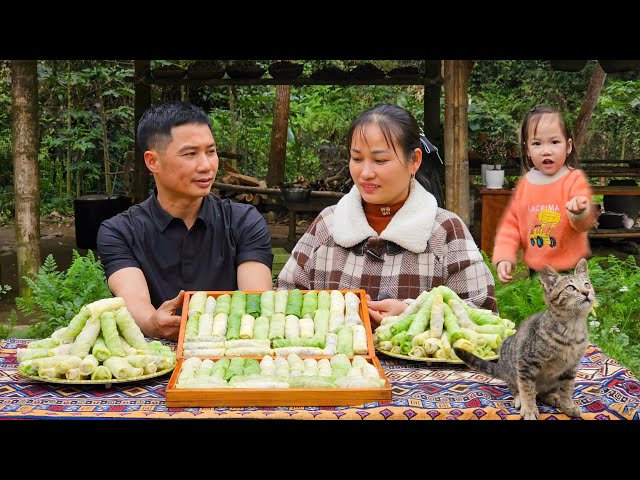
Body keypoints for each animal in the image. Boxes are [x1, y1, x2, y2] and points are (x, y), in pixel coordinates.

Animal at [456, 258, 596, 420]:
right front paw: (529, 409)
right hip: (511, 366)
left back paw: (553, 397)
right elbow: (527, 389)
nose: (586, 292)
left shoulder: (571, 368)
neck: (572, 328)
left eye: (587, 284)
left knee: (543, 393)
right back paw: (520, 399)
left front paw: (568, 405)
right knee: (517, 388)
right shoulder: (526, 364)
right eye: (570, 288)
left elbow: (567, 390)